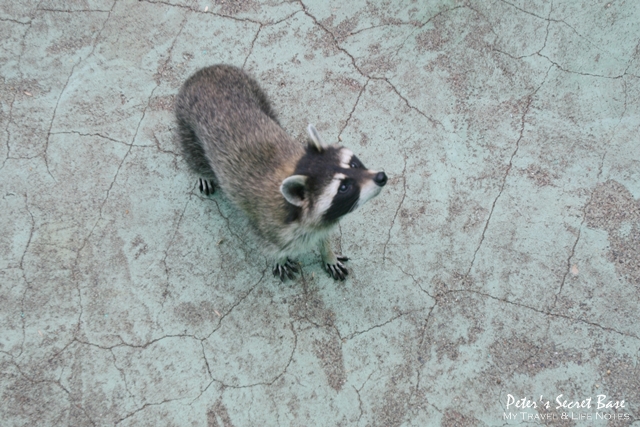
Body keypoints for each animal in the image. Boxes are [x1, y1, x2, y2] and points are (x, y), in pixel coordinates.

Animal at [172, 64, 388, 280]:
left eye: (353, 164)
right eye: (344, 187)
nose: (381, 177)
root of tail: (205, 71)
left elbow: (323, 236)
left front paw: (328, 253)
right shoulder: (267, 226)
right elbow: (271, 245)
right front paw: (280, 258)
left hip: (257, 92)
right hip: (186, 124)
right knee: (194, 158)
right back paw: (202, 173)